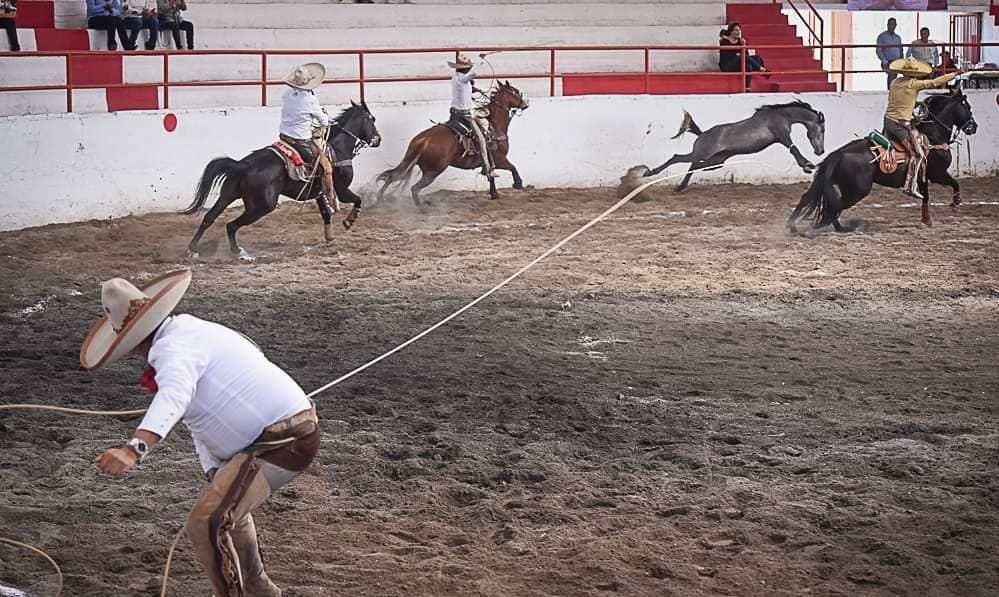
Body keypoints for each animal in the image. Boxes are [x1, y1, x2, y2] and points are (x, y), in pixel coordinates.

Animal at [182, 101, 380, 260]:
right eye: (372, 119)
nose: (378, 139)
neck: (338, 149)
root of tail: (243, 165)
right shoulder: (341, 189)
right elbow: (357, 200)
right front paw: (349, 221)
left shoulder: (319, 193)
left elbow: (326, 214)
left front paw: (330, 238)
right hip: (262, 206)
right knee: (231, 225)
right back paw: (238, 251)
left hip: (228, 194)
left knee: (209, 217)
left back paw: (192, 250)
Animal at [376, 80, 532, 204]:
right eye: (515, 92)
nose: (525, 103)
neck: (493, 124)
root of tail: (424, 140)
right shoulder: (500, 159)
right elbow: (512, 167)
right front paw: (518, 183)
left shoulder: (489, 162)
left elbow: (491, 174)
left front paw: (494, 194)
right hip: (433, 171)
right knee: (414, 188)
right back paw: (422, 208)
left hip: (411, 162)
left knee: (393, 177)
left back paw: (379, 199)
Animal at [644, 100, 824, 191]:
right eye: (822, 129)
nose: (820, 151)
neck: (781, 115)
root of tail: (702, 134)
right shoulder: (781, 134)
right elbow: (794, 148)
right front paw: (807, 165)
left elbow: (793, 149)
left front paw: (807, 166)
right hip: (702, 154)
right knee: (678, 158)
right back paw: (651, 173)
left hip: (717, 161)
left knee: (695, 165)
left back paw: (681, 187)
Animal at [788, 86, 976, 230]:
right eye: (967, 107)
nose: (974, 126)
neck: (933, 137)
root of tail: (839, 154)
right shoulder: (937, 174)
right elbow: (954, 183)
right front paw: (955, 203)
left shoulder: (923, 177)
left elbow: (926, 196)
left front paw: (926, 220)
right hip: (857, 190)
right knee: (835, 208)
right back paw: (837, 227)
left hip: (832, 180)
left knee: (809, 198)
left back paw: (793, 225)